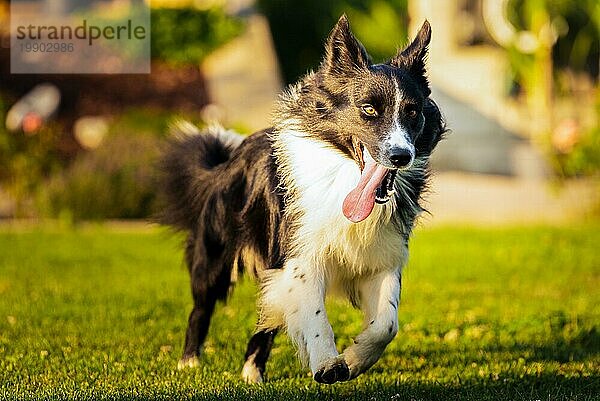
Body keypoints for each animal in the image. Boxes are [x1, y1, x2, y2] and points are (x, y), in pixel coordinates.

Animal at [159, 15, 446, 382]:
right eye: (368, 109)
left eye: (412, 113)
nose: (401, 156)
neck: (344, 178)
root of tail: (227, 160)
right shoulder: (299, 256)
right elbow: (314, 313)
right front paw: (327, 363)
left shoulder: (383, 256)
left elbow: (386, 325)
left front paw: (354, 360)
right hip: (215, 254)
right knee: (202, 306)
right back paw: (190, 361)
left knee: (266, 316)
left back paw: (252, 371)